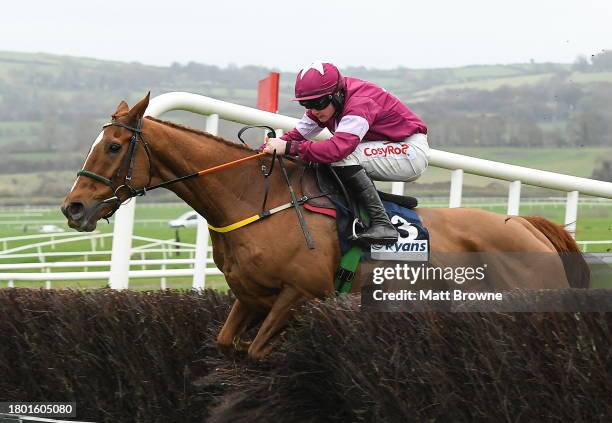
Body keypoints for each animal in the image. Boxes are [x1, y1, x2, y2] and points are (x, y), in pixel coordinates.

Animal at [61, 94, 588, 360]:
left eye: (112, 147)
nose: (73, 208)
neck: (256, 199)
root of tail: (526, 226)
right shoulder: (251, 297)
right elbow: (230, 344)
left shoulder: (301, 293)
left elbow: (258, 352)